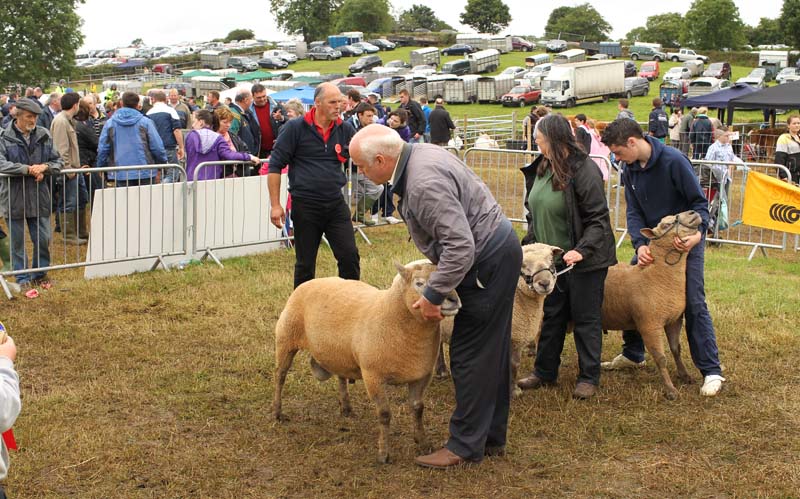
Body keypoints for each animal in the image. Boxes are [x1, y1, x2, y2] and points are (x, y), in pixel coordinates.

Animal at [274, 262, 462, 464]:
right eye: (419, 283)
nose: (453, 300)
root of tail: (313, 281)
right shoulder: (373, 376)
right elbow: (385, 414)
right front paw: (383, 454)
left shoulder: (421, 375)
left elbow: (418, 408)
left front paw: (423, 443)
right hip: (286, 338)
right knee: (280, 376)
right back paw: (277, 412)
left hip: (339, 353)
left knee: (341, 377)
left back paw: (346, 408)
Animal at [432, 243, 564, 398]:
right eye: (523, 264)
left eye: (551, 260)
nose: (544, 283)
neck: (520, 298)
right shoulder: (512, 337)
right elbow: (512, 365)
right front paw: (512, 392)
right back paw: (441, 371)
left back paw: (441, 371)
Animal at [600, 209, 700, 400]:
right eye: (666, 224)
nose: (693, 212)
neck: (656, 275)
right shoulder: (649, 325)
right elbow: (661, 358)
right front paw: (670, 390)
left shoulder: (674, 320)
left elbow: (676, 349)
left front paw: (685, 375)